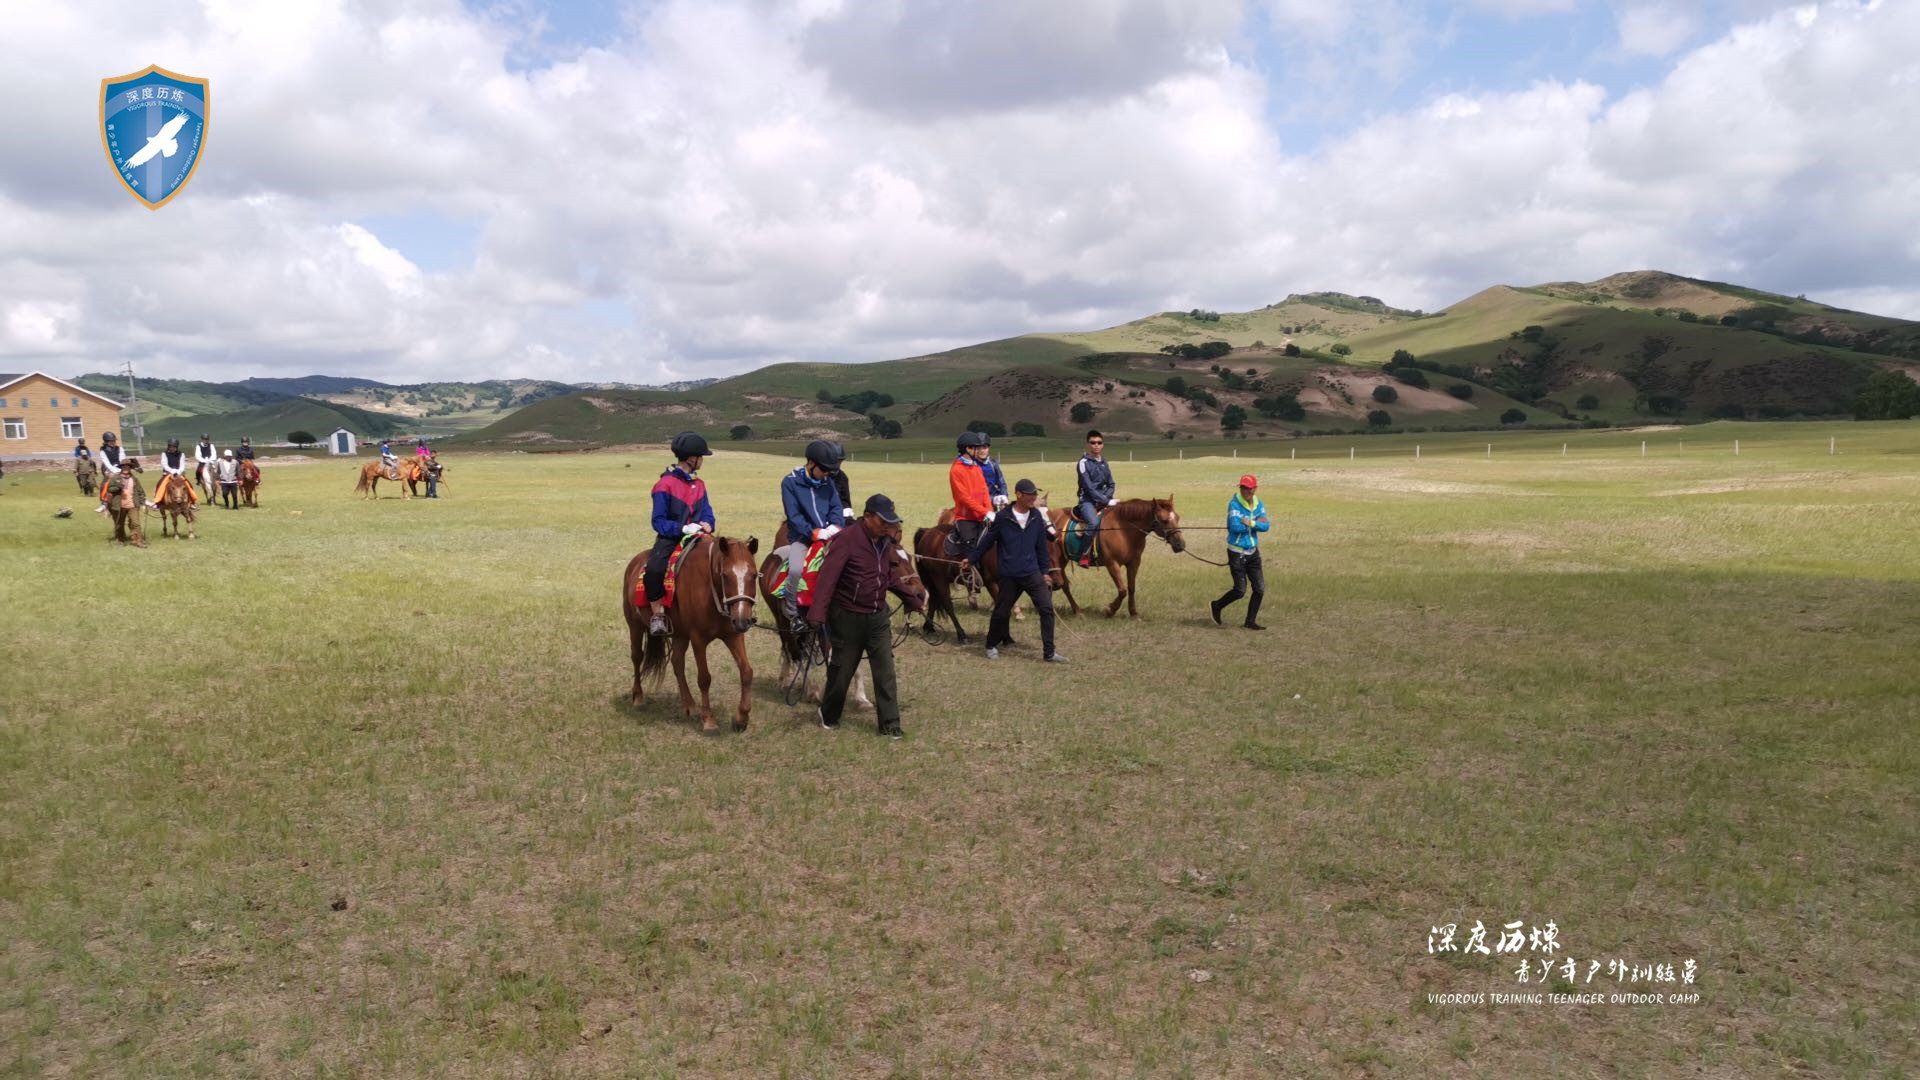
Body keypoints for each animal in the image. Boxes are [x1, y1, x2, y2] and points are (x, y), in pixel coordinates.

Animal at [622, 530, 756, 730]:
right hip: (635, 625)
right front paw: (709, 720)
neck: (710, 590)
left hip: (680, 634)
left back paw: (690, 706)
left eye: (754, 575)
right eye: (725, 575)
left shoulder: (733, 635)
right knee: (637, 657)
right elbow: (704, 678)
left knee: (677, 663)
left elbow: (746, 672)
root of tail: (634, 564)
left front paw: (741, 718)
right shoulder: (698, 638)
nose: (743, 620)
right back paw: (638, 697)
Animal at [1052, 495, 1182, 614]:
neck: (1124, 530)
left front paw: (1133, 613)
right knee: (1063, 584)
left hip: (1062, 560)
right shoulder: (1112, 564)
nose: (1180, 544)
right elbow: (1122, 590)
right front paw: (1110, 610)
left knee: (1064, 584)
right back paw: (1077, 610)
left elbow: (1131, 588)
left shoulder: (1134, 563)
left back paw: (1077, 610)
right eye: (1164, 520)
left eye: (1177, 517)